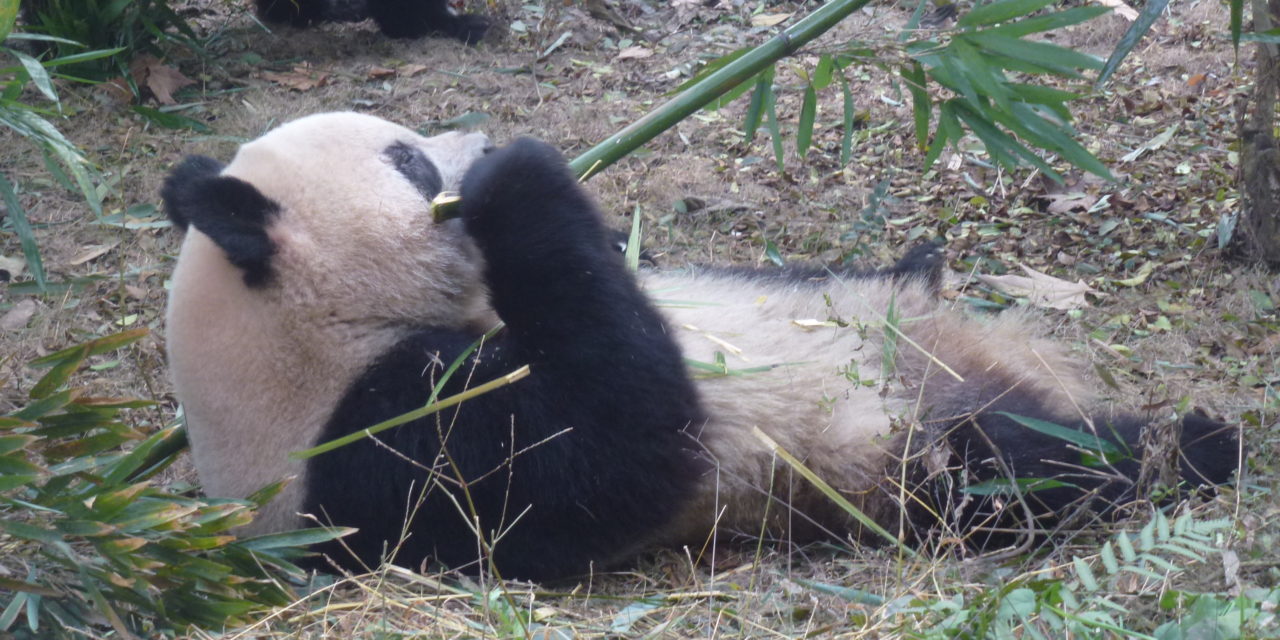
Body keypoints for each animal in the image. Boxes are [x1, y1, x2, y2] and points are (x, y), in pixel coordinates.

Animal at [162, 112, 1239, 583]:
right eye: (408, 160)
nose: (471, 137)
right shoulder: (377, 451)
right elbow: (608, 450)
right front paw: (517, 177)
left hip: (892, 329)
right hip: (895, 455)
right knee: (1025, 469)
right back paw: (1189, 446)